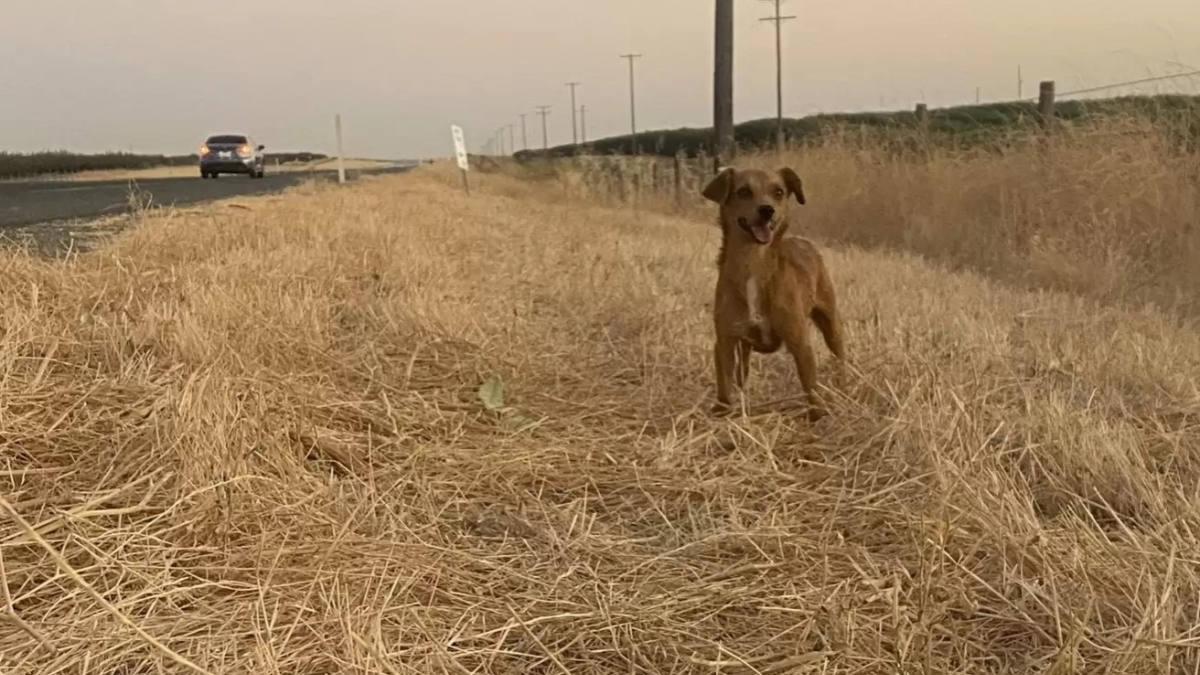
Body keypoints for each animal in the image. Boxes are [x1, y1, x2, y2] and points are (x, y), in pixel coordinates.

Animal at [700, 165, 844, 417]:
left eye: (779, 192)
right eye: (743, 191)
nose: (767, 210)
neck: (754, 264)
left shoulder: (800, 342)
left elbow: (810, 385)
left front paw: (817, 415)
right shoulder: (726, 341)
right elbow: (725, 384)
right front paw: (723, 410)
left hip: (831, 323)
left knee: (841, 357)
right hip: (743, 347)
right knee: (742, 371)